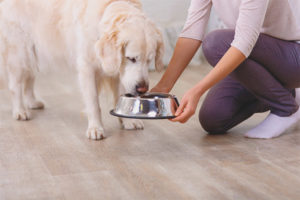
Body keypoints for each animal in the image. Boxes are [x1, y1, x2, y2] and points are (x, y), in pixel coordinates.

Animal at [0, 0, 164, 140]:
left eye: (149, 60)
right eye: (131, 58)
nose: (142, 89)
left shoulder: (119, 72)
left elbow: (121, 96)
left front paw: (128, 121)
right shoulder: (87, 68)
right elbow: (93, 103)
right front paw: (95, 128)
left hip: (35, 53)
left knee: (29, 79)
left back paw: (32, 102)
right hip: (20, 52)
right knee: (15, 85)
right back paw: (20, 111)